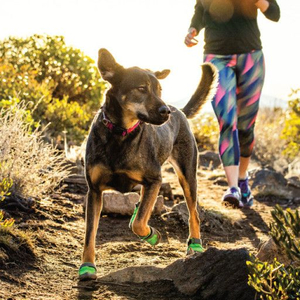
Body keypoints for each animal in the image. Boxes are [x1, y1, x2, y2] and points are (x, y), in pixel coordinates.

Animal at [78, 48, 217, 280]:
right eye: (141, 88)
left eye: (160, 89)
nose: (165, 111)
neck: (121, 133)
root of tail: (179, 110)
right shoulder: (94, 191)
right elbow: (90, 234)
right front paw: (87, 266)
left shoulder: (155, 179)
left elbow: (139, 223)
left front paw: (152, 235)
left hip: (187, 176)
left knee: (194, 214)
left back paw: (195, 245)